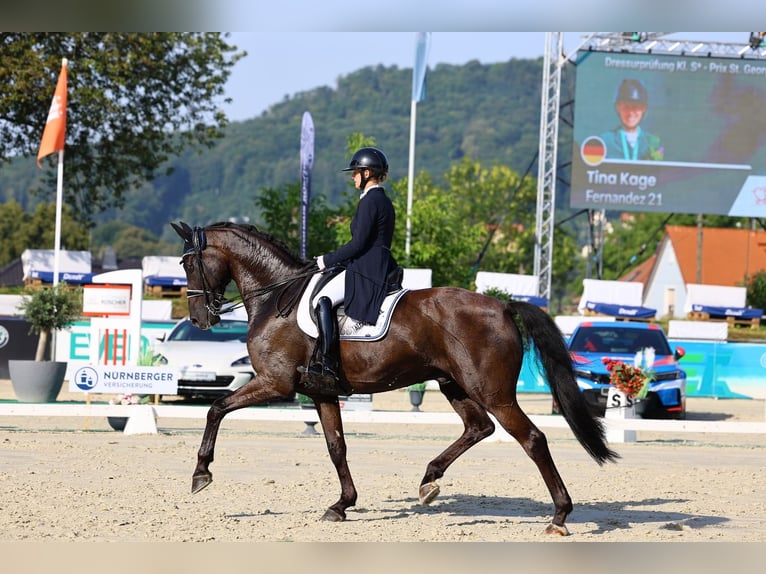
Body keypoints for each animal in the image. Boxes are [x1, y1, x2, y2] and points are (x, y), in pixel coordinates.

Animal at [171, 221, 619, 536]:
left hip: (492, 391)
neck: (276, 297)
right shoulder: (320, 392)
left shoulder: (274, 382)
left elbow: (216, 408)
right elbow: (336, 447)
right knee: (479, 427)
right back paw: (429, 481)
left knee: (531, 439)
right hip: (454, 384)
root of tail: (503, 306)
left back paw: (559, 516)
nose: (199, 319)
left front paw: (200, 474)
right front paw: (342, 504)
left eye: (188, 263)